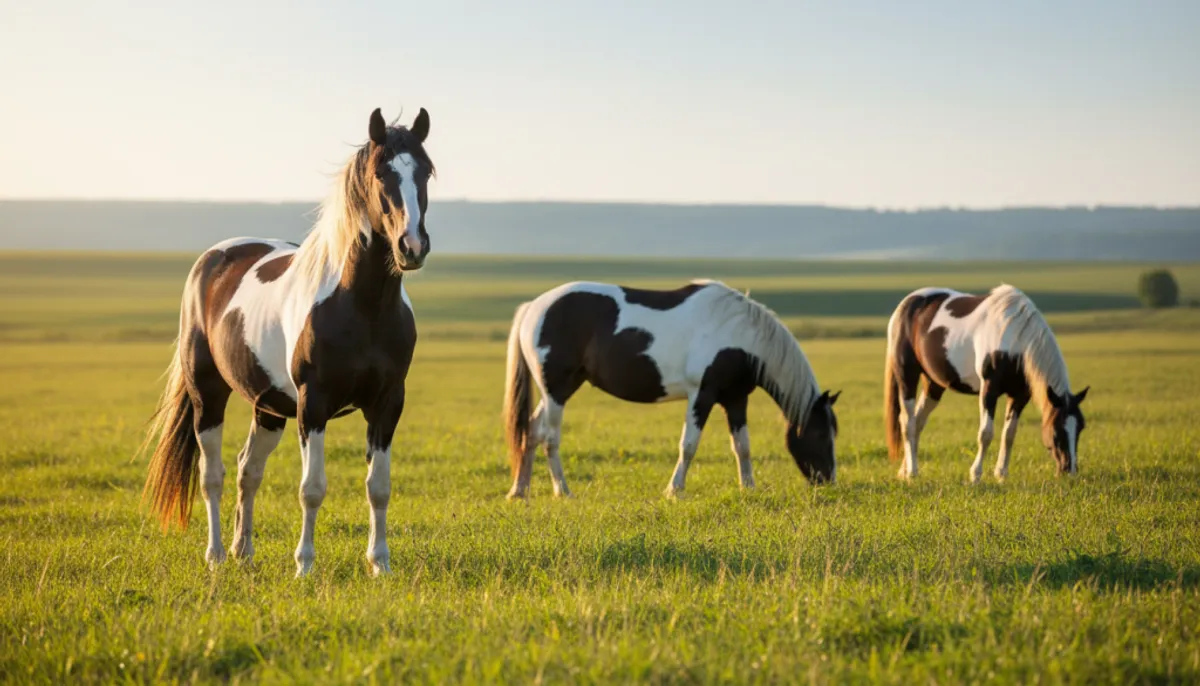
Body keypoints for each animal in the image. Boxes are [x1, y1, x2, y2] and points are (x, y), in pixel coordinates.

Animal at [140, 106, 435, 576]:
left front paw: (380, 564)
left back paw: (243, 551)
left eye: (425, 171)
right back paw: (216, 554)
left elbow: (379, 486)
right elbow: (311, 488)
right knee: (213, 475)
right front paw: (305, 566)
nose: (412, 247)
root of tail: (214, 258)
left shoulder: (387, 404)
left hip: (269, 407)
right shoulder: (312, 404)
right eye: (380, 174)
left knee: (248, 470)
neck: (363, 305)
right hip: (209, 396)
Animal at [502, 279, 841, 498]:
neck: (739, 334)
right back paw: (562, 490)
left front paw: (749, 488)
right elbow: (688, 445)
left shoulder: (735, 399)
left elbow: (742, 446)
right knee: (550, 438)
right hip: (556, 390)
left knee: (531, 431)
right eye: (820, 434)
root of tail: (534, 307)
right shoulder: (701, 395)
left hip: (560, 389)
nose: (827, 481)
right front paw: (674, 490)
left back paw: (520, 491)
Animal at [883, 284, 1089, 483]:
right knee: (908, 422)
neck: (1015, 340)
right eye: (1056, 431)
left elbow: (1009, 434)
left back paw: (904, 471)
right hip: (907, 376)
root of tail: (906, 304)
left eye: (1080, 428)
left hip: (934, 384)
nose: (1069, 472)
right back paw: (912, 473)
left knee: (918, 422)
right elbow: (986, 434)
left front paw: (1001, 474)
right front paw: (976, 474)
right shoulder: (989, 389)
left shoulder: (1020, 395)